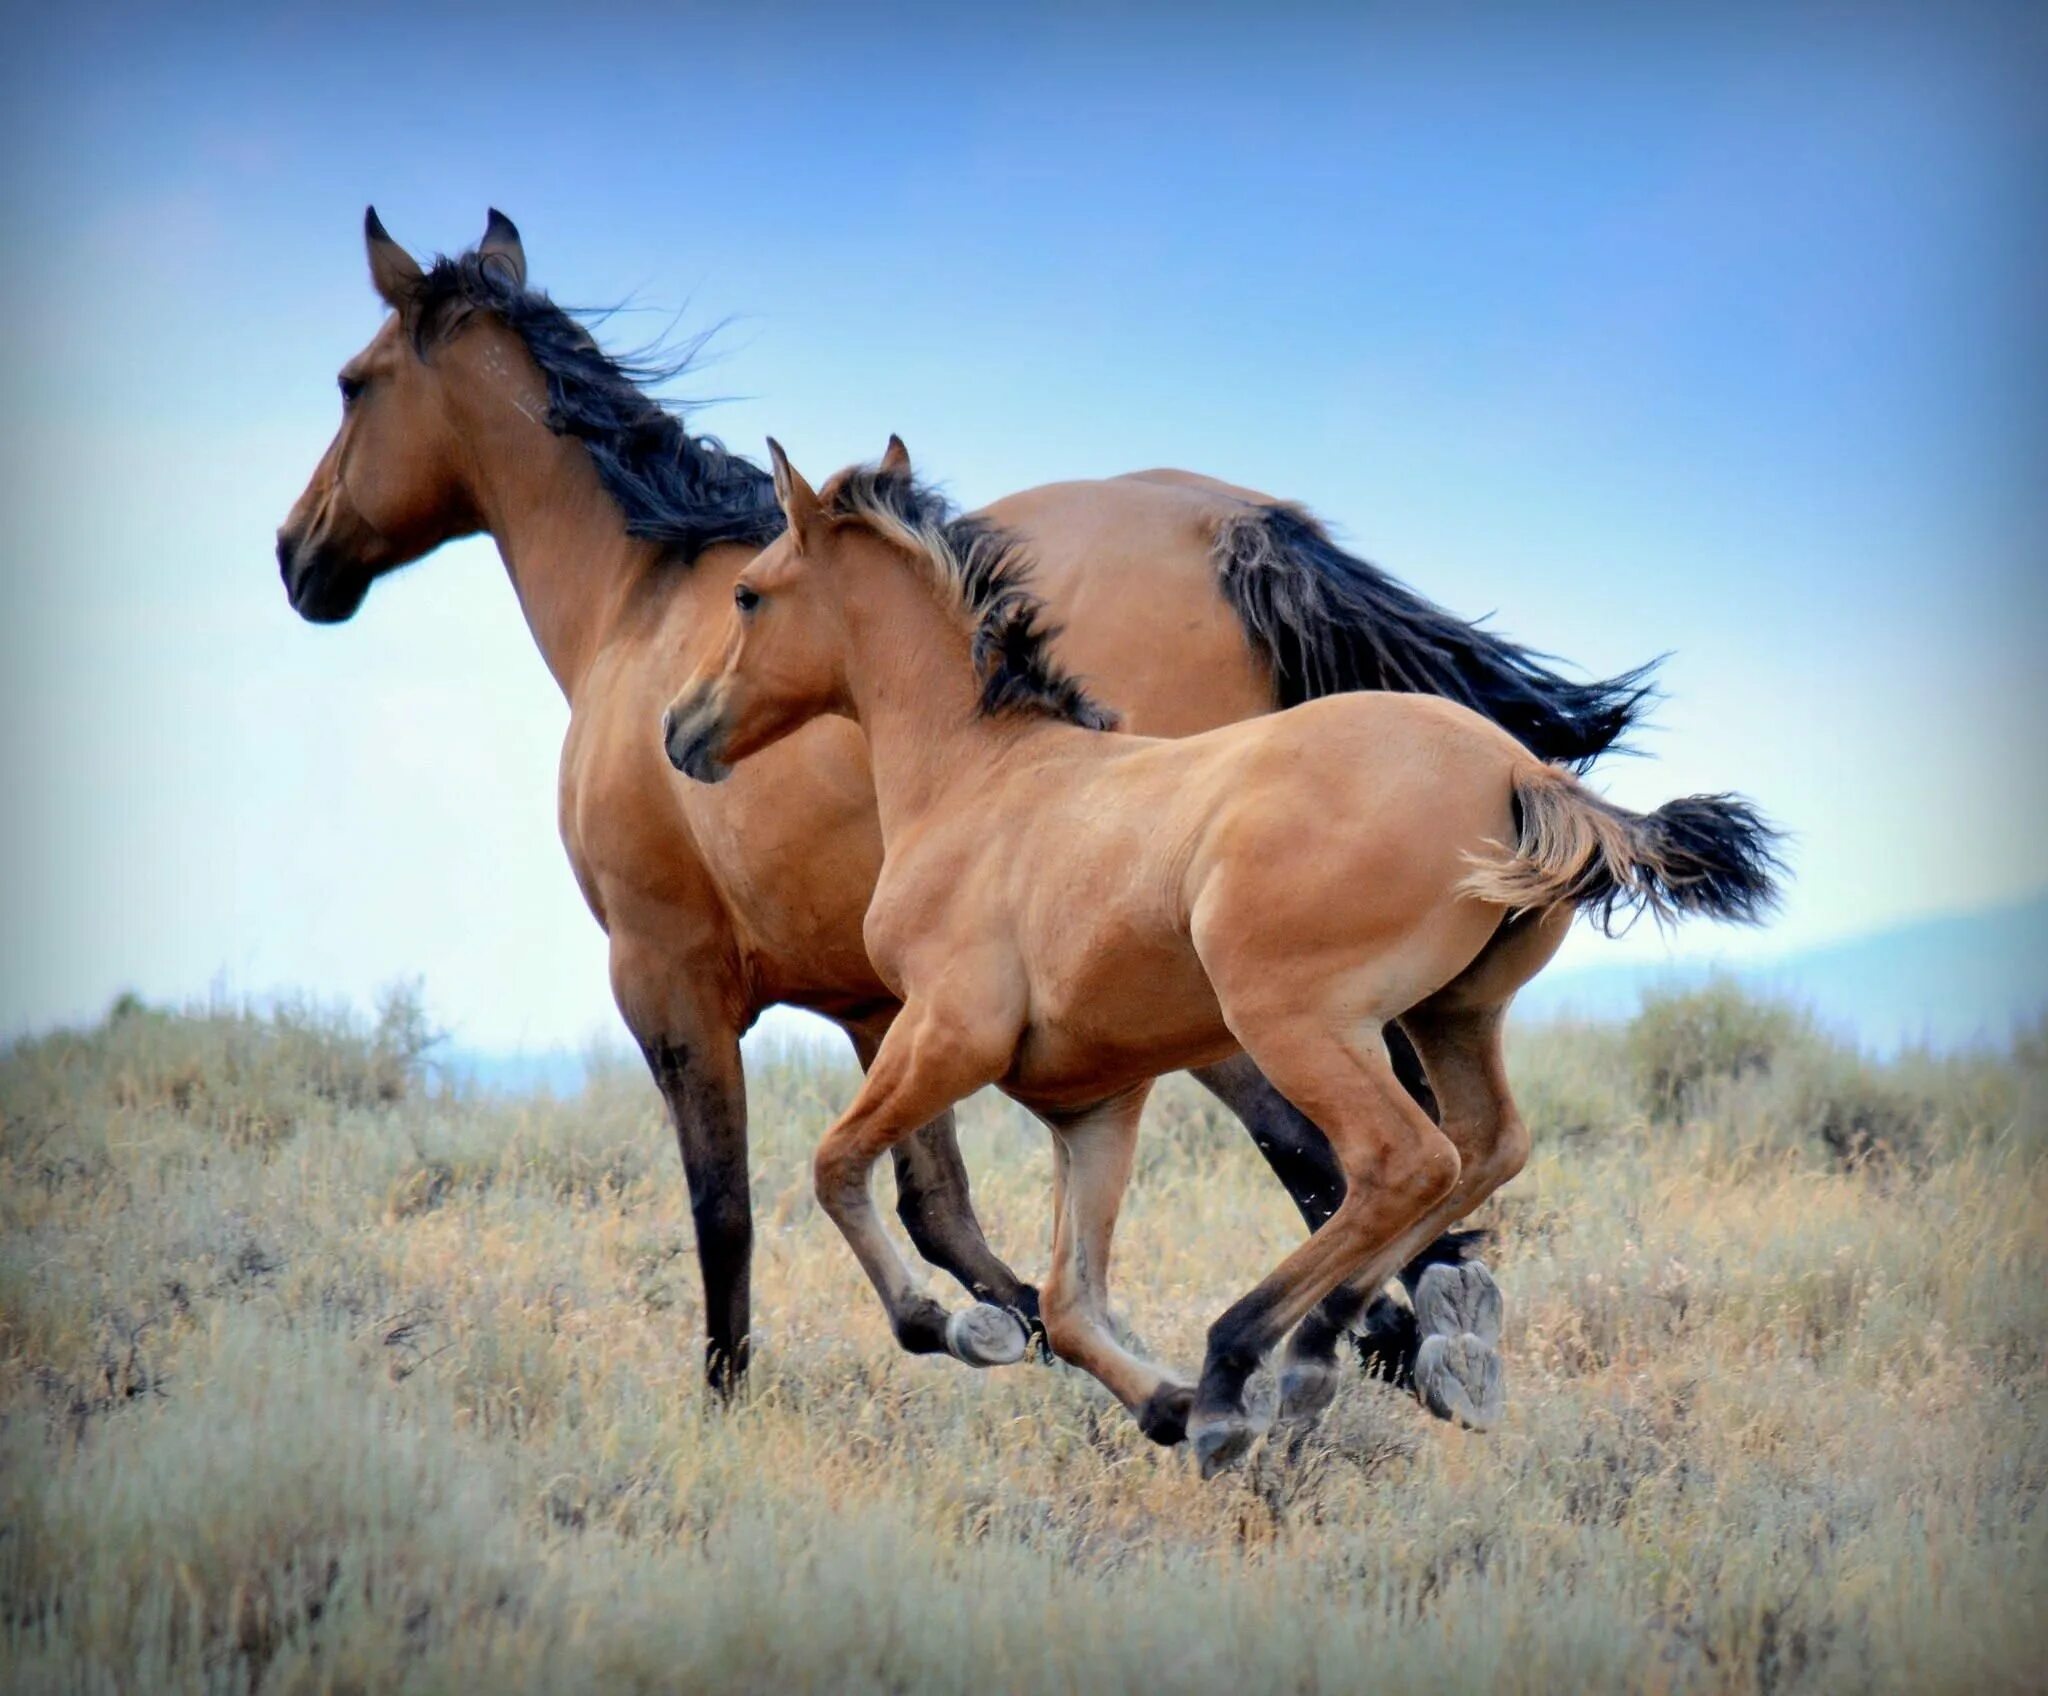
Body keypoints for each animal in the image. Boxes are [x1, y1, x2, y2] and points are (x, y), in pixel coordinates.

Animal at [272, 208, 1654, 1401]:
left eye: (351, 382)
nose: (299, 558)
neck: (638, 602)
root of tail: (1240, 532)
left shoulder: (668, 979)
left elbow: (731, 1209)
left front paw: (737, 1399)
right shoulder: (882, 1007)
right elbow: (934, 1207)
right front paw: (1019, 1336)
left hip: (1232, 989)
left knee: (1340, 1152)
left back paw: (1367, 1344)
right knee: (1410, 1149)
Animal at [659, 444, 1777, 1474]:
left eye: (748, 593)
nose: (680, 726)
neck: (983, 779)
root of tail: (1518, 770)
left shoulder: (946, 1036)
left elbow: (836, 1167)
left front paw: (957, 1329)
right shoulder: (1092, 1102)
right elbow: (1070, 1301)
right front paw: (1154, 1403)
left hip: (1294, 1022)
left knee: (1403, 1160)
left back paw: (1243, 1366)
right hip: (1452, 1016)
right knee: (1483, 1147)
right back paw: (1304, 1358)